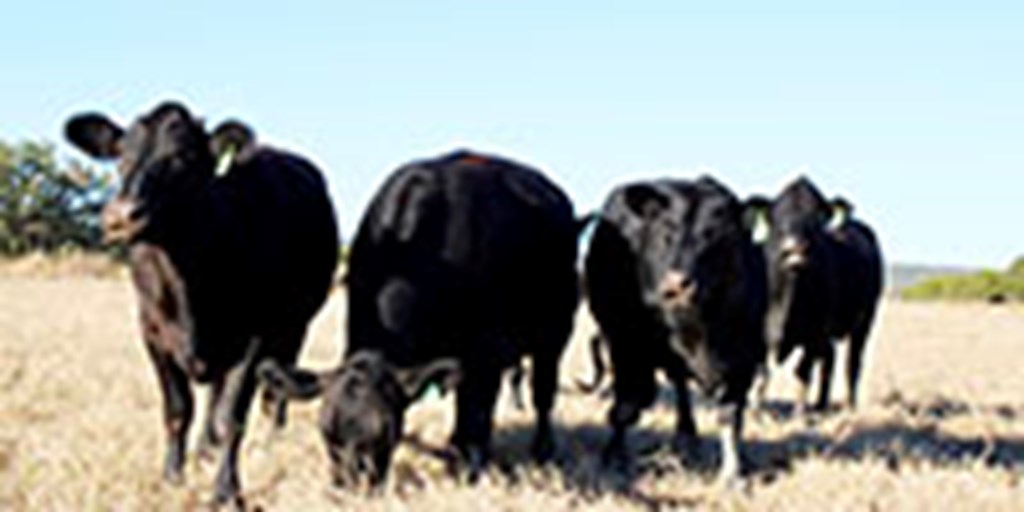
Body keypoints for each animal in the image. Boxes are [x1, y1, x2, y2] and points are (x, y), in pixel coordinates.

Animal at [64, 101, 339, 505]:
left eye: (182, 158)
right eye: (120, 157)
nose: (121, 215)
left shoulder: (255, 338)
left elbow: (233, 416)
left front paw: (226, 490)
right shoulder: (152, 333)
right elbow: (178, 410)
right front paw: (172, 476)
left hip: (295, 326)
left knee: (275, 389)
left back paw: (272, 441)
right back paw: (205, 448)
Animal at [749, 176, 884, 411]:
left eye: (817, 218)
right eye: (777, 216)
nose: (796, 248)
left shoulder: (815, 332)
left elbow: (802, 372)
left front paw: (799, 412)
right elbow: (762, 373)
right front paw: (756, 412)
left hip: (865, 320)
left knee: (852, 363)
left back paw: (849, 406)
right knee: (830, 357)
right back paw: (821, 404)